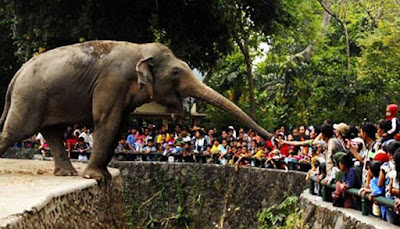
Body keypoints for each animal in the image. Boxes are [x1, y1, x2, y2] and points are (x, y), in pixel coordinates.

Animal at [0, 40, 274, 181]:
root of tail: (16, 76)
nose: (274, 137)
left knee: (52, 132)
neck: (140, 49)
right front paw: (96, 179)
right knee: (17, 130)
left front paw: (103, 177)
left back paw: (67, 174)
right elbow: (107, 120)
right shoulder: (111, 82)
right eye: (176, 72)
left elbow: (120, 124)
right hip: (30, 97)